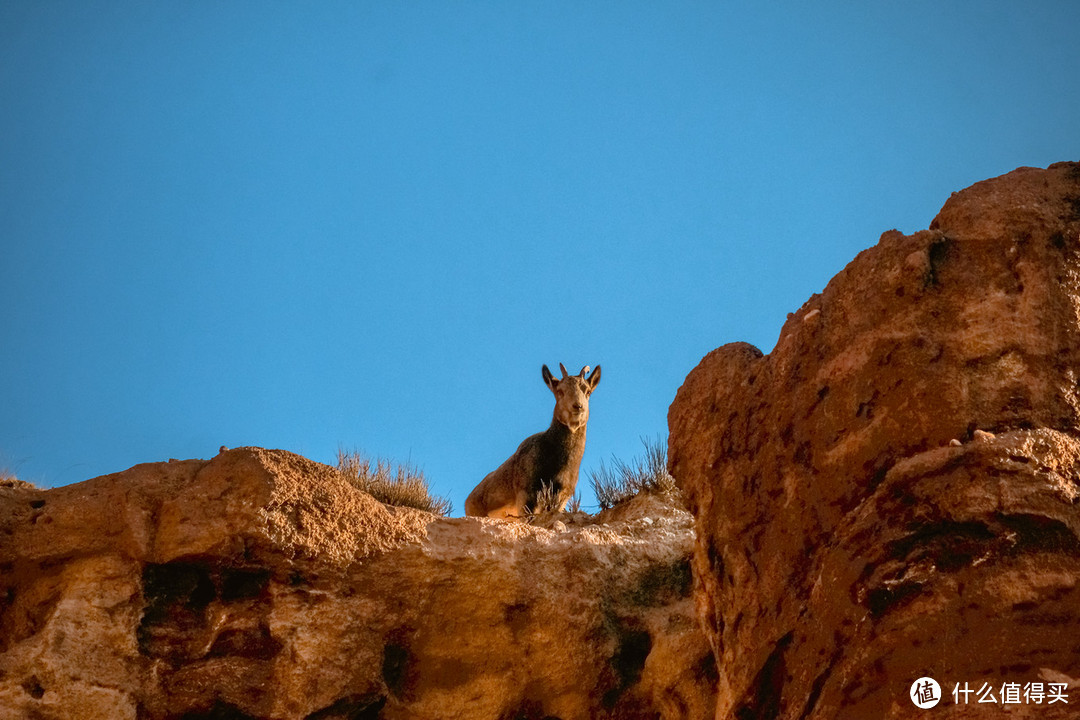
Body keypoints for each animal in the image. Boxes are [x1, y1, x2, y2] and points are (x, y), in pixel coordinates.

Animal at [464, 367, 600, 518]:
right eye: (560, 391)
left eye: (588, 391)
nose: (577, 406)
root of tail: (468, 500)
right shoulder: (526, 496)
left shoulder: (562, 498)